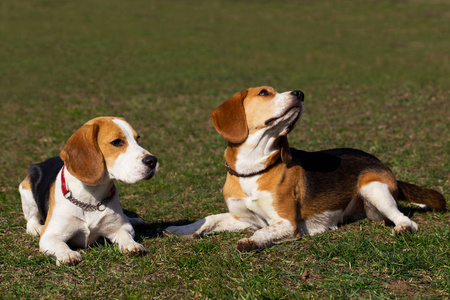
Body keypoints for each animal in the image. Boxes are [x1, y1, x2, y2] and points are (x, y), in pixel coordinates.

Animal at [20, 117, 159, 264]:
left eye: (137, 138)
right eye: (117, 142)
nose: (153, 160)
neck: (90, 199)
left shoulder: (120, 227)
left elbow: (125, 235)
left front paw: (132, 245)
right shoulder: (49, 236)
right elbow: (59, 244)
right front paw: (68, 254)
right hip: (27, 192)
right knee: (31, 221)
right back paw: (38, 228)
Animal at [168, 86, 446, 251]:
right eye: (264, 92)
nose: (300, 93)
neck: (252, 169)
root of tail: (381, 164)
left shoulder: (285, 223)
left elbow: (265, 231)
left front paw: (251, 242)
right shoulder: (243, 219)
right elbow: (209, 220)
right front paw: (180, 230)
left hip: (373, 189)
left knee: (406, 219)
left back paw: (403, 227)